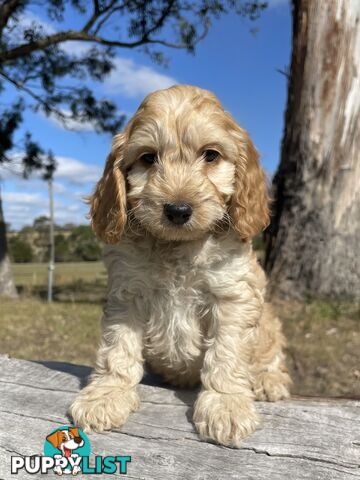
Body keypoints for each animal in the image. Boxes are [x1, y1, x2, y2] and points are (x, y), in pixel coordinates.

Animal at [69, 84, 292, 448]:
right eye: (148, 158)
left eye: (211, 155)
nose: (177, 210)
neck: (177, 247)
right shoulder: (127, 295)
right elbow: (118, 349)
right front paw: (107, 394)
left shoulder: (232, 296)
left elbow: (227, 353)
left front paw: (226, 404)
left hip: (269, 321)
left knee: (270, 353)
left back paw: (268, 380)